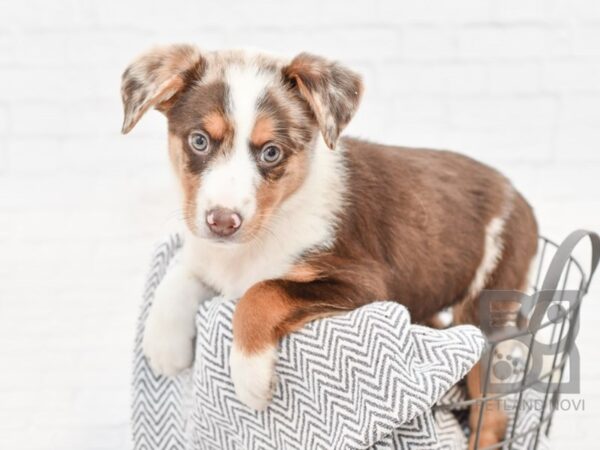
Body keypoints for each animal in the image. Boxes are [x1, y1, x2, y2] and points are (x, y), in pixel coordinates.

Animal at [122, 44, 540, 446]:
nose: (223, 222)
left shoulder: (365, 282)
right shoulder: (210, 251)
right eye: (199, 141)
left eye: (271, 152)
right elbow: (182, 271)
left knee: (493, 415)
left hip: (487, 301)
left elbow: (262, 292)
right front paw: (163, 346)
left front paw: (251, 377)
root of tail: (520, 198)